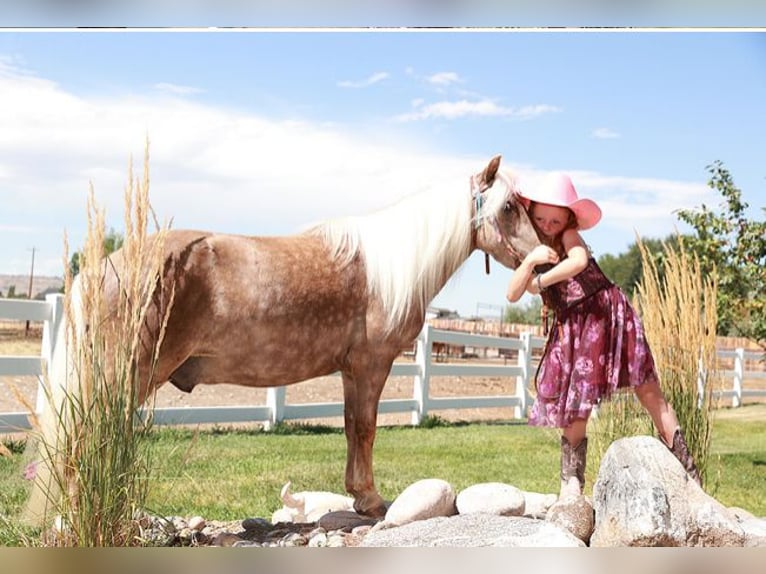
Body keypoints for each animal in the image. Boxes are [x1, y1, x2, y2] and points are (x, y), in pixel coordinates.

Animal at [24, 155, 540, 523]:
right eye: (508, 206)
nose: (544, 258)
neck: (387, 268)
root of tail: (103, 268)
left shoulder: (351, 370)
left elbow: (351, 428)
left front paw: (359, 497)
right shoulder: (372, 364)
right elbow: (367, 428)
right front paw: (372, 501)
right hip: (119, 377)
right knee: (83, 440)